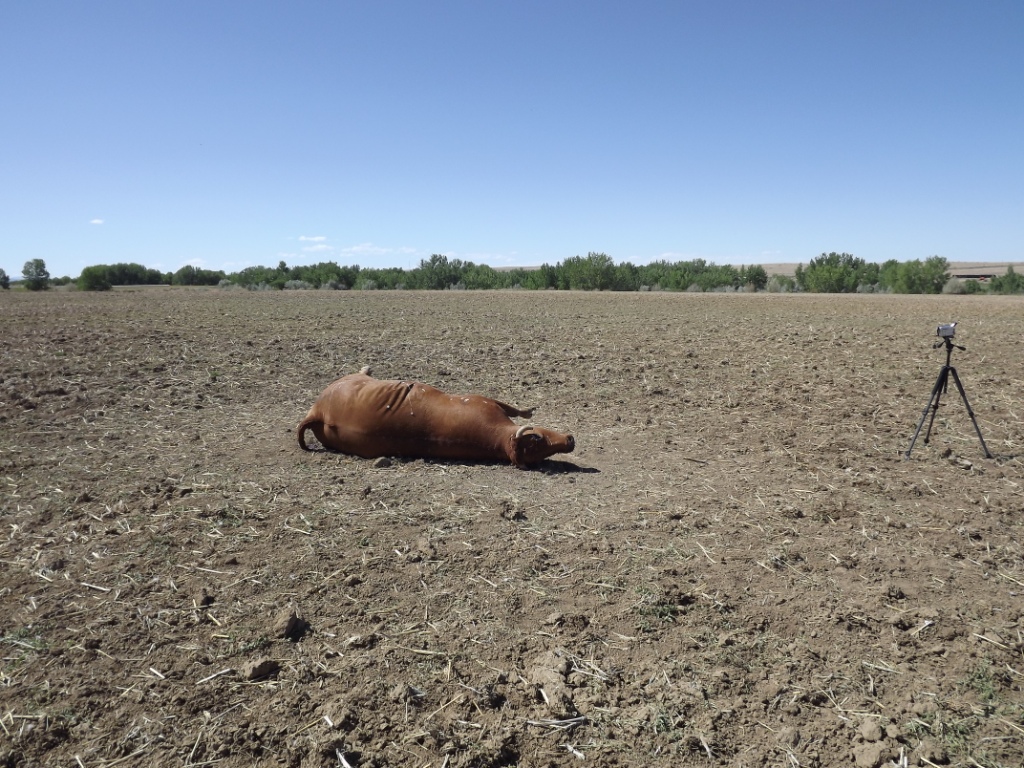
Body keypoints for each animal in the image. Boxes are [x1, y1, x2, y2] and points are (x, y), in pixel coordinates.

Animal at [294, 368, 577, 468]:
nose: (570, 440)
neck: (495, 438)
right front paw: (529, 410)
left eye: (541, 456)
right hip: (352, 379)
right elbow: (515, 409)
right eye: (537, 440)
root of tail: (316, 413)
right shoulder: (483, 400)